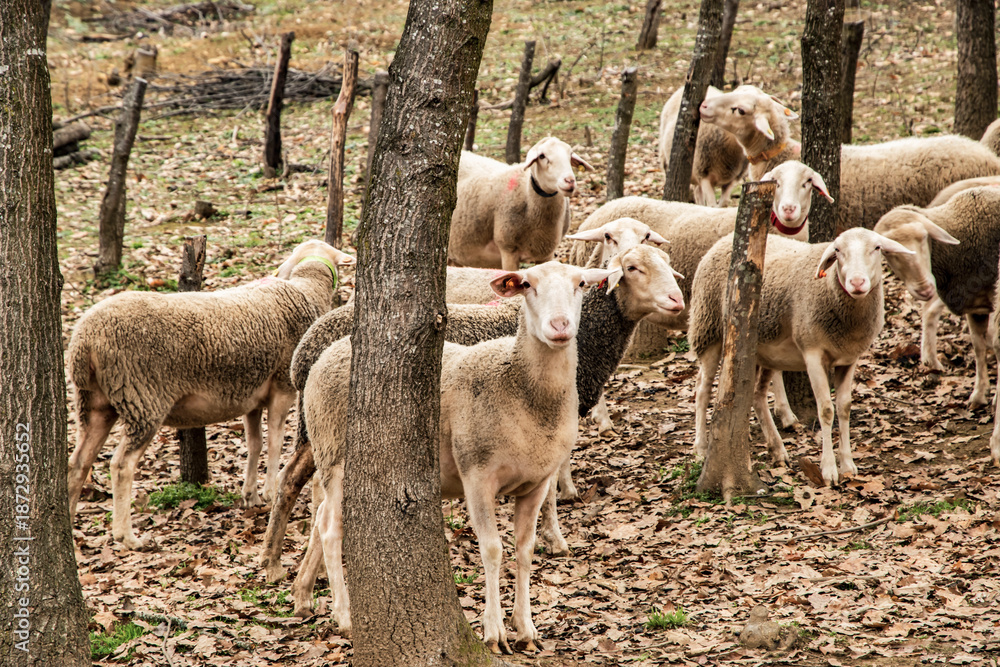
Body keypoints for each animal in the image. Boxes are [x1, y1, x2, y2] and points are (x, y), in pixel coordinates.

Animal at [66, 240, 356, 550]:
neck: (305, 290)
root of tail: (84, 340)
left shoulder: (251, 397)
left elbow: (254, 444)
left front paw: (250, 495)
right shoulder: (281, 387)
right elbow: (275, 442)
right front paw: (269, 490)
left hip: (94, 401)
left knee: (78, 463)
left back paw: (68, 524)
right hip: (142, 398)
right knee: (121, 465)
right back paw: (127, 536)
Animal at [260, 246, 685, 587]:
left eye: (668, 263)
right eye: (632, 268)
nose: (677, 300)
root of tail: (307, 347)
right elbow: (549, 487)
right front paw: (555, 536)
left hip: (314, 427)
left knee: (292, 479)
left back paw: (274, 561)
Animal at [301, 261, 613, 650]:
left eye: (581, 284)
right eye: (527, 285)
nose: (560, 326)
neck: (523, 392)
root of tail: (329, 352)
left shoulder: (537, 482)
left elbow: (524, 550)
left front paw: (526, 627)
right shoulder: (477, 474)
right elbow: (492, 549)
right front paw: (494, 631)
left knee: (321, 517)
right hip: (335, 457)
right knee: (330, 529)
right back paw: (344, 617)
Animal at [689, 228, 914, 485]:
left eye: (877, 248)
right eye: (837, 250)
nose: (857, 283)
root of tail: (726, 239)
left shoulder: (849, 359)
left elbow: (844, 408)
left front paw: (848, 464)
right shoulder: (813, 353)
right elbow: (826, 410)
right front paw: (828, 470)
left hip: (762, 351)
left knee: (756, 394)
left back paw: (777, 449)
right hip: (709, 327)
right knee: (702, 390)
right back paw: (701, 448)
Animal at [873, 187, 1000, 408]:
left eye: (924, 237)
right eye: (888, 252)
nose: (924, 289)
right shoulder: (975, 305)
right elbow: (978, 347)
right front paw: (978, 394)